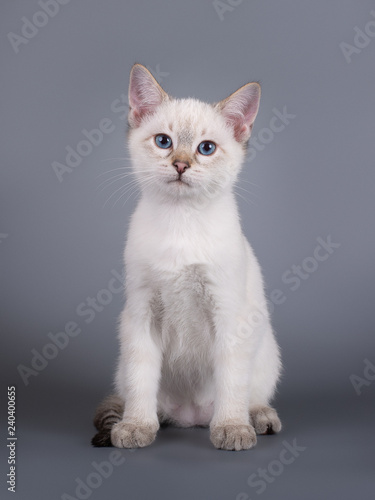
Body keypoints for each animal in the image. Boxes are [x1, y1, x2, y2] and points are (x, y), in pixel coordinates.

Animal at [93, 64, 282, 452]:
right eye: (163, 141)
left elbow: (232, 381)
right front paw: (136, 427)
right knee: (137, 394)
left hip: (267, 350)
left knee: (251, 394)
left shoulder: (228, 314)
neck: (181, 221)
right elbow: (141, 380)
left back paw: (256, 418)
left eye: (206, 149)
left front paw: (232, 428)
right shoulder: (142, 312)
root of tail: (192, 417)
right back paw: (154, 419)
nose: (181, 164)